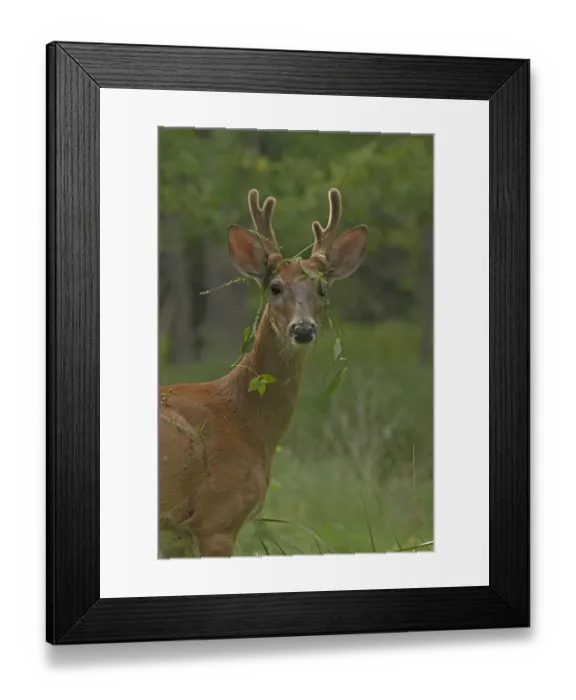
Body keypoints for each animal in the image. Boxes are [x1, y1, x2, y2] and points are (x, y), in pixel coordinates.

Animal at [158, 188, 368, 557]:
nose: (303, 329)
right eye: (275, 287)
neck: (245, 419)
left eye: (322, 289)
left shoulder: (176, 539)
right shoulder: (217, 516)